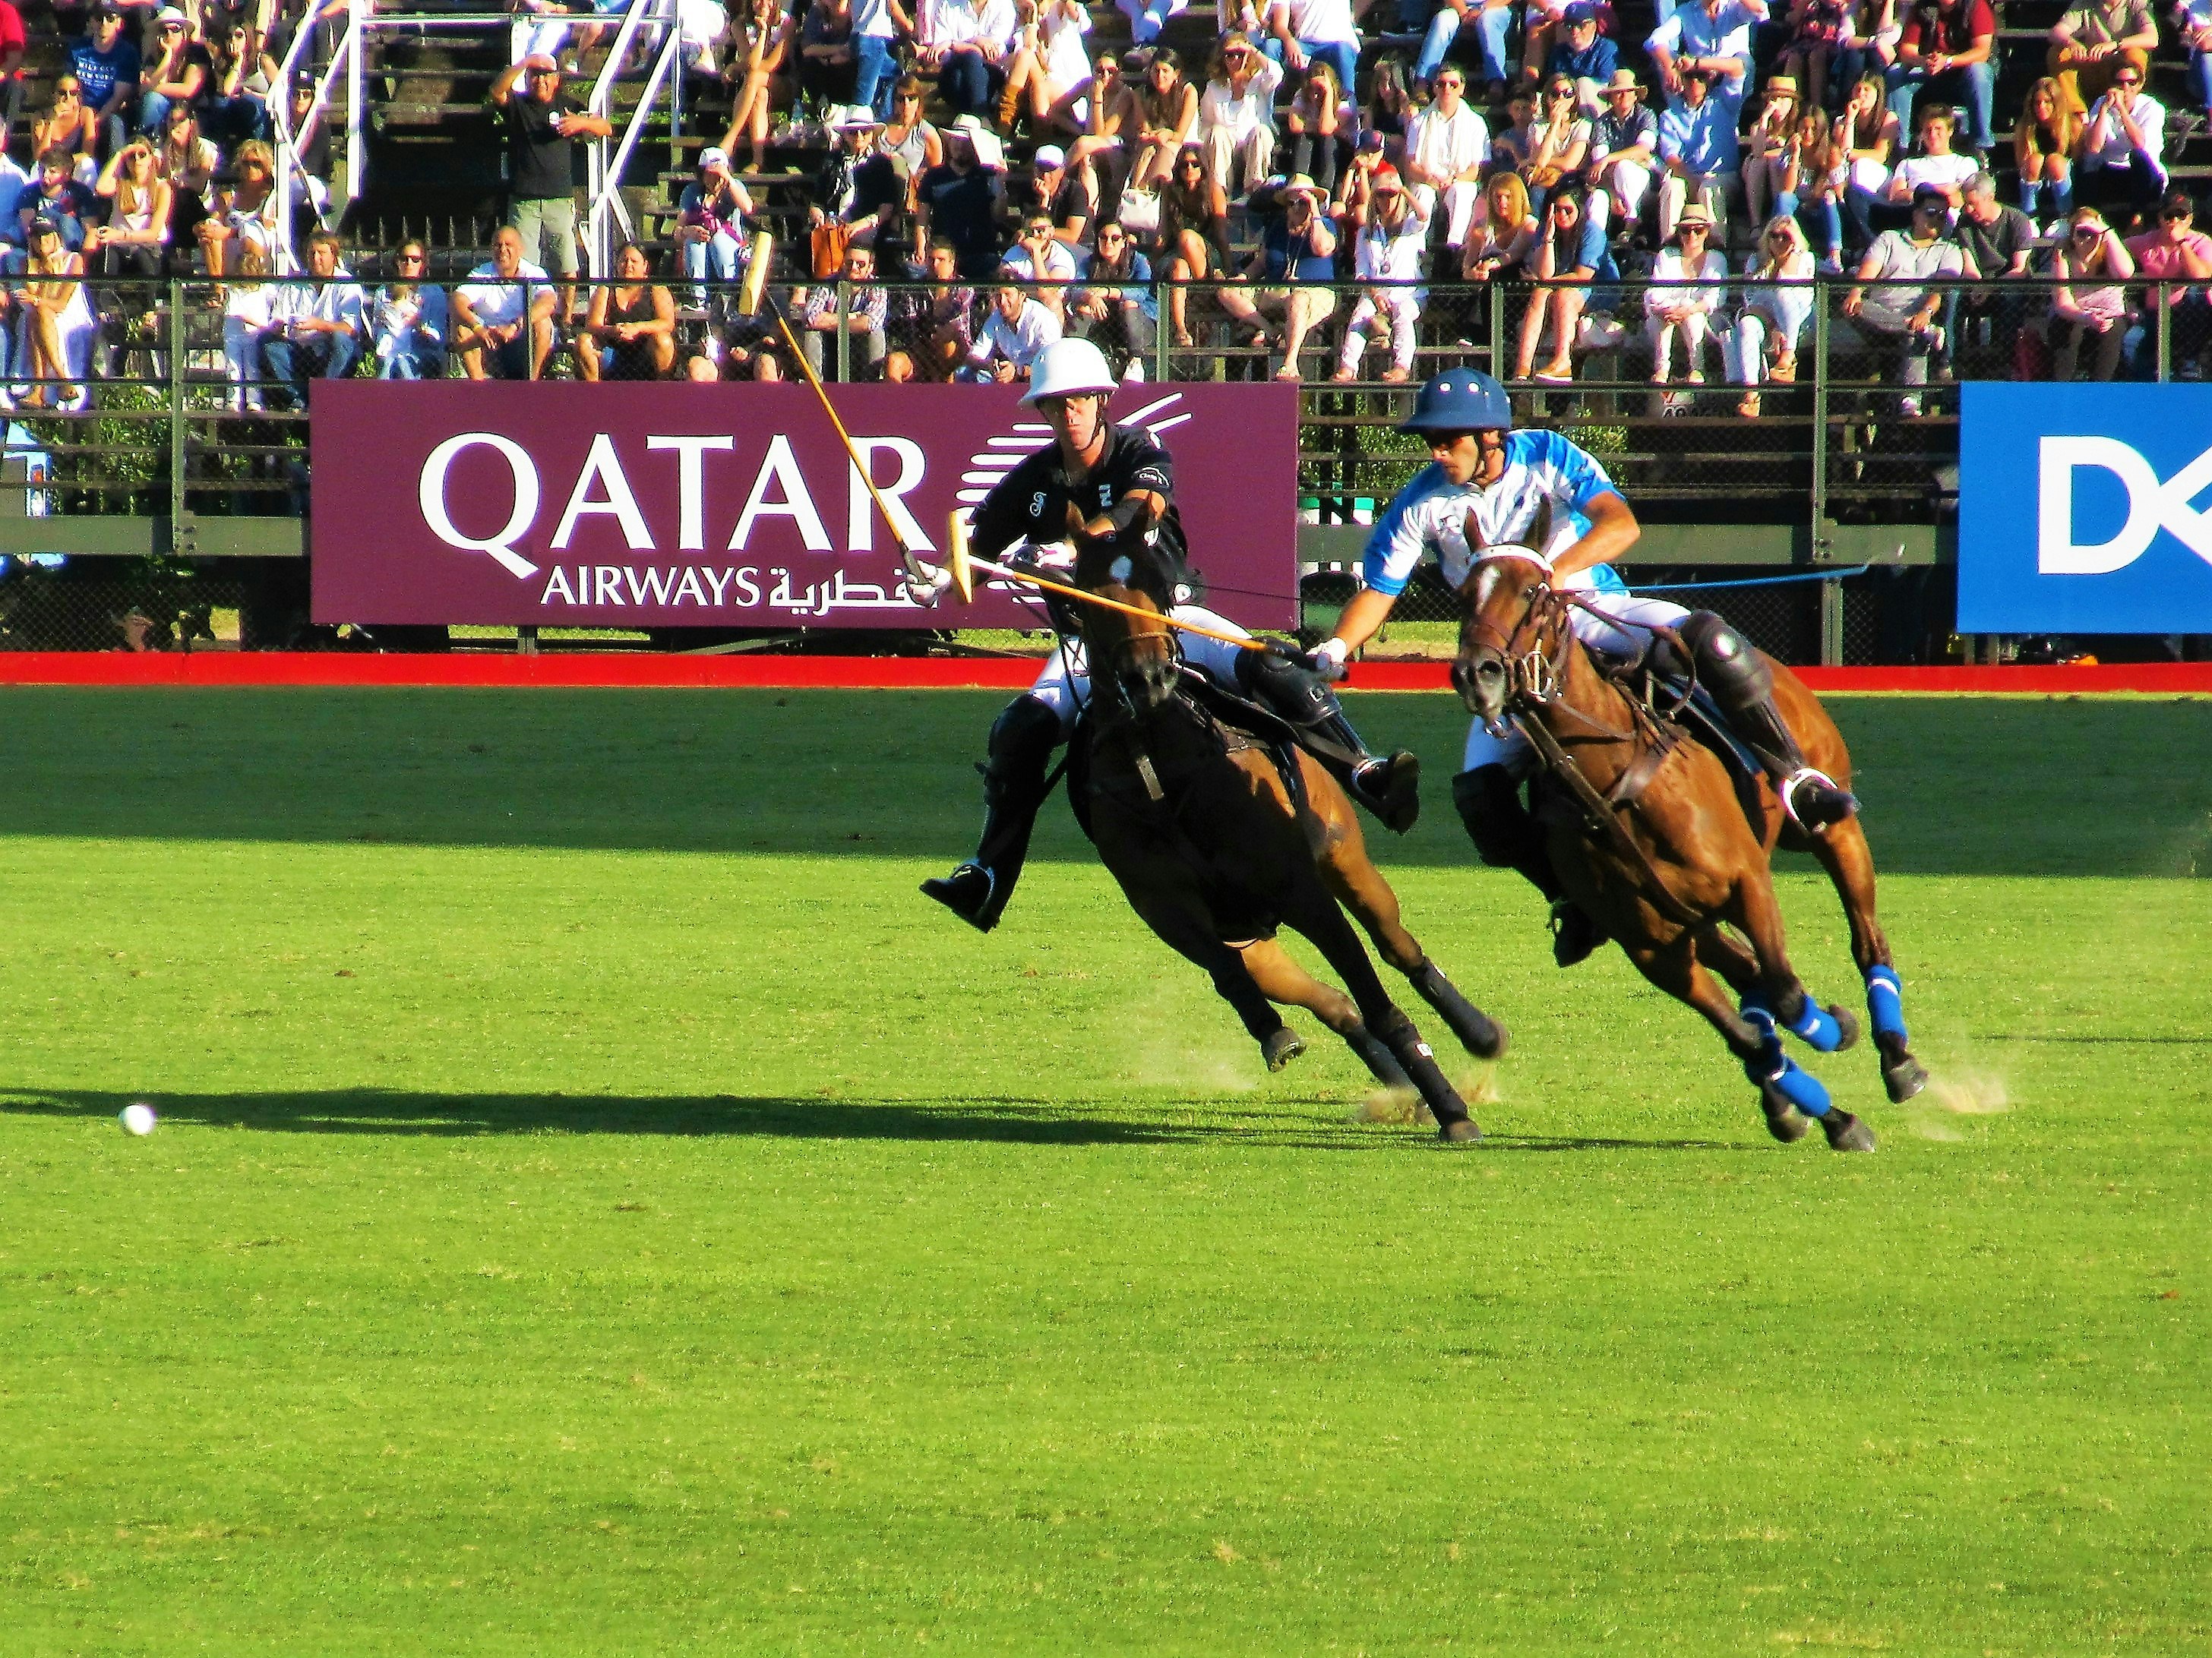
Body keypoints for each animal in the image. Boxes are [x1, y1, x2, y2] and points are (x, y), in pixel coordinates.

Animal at [1066, 545, 1504, 1140]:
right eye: (1090, 601)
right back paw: (1396, 1087)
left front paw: (1454, 1113)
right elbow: (1228, 973)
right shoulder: (1169, 911)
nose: (1150, 678)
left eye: (1156, 589)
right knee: (1333, 1001)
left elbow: (1381, 1001)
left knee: (1399, 948)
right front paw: (1277, 1036)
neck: (1159, 763)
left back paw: (1477, 1036)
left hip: (1345, 861)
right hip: (1257, 942)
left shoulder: (1303, 889)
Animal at [1451, 552, 1920, 1149]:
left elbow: (1787, 994)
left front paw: (1836, 1032)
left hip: (1829, 827)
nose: (1475, 674)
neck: (1612, 790)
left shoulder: (1747, 884)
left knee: (1865, 937)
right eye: (1464, 595)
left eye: (1534, 592)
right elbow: (1750, 1031)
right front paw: (1830, 1114)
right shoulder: (1655, 950)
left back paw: (1898, 1058)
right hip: (1694, 921)